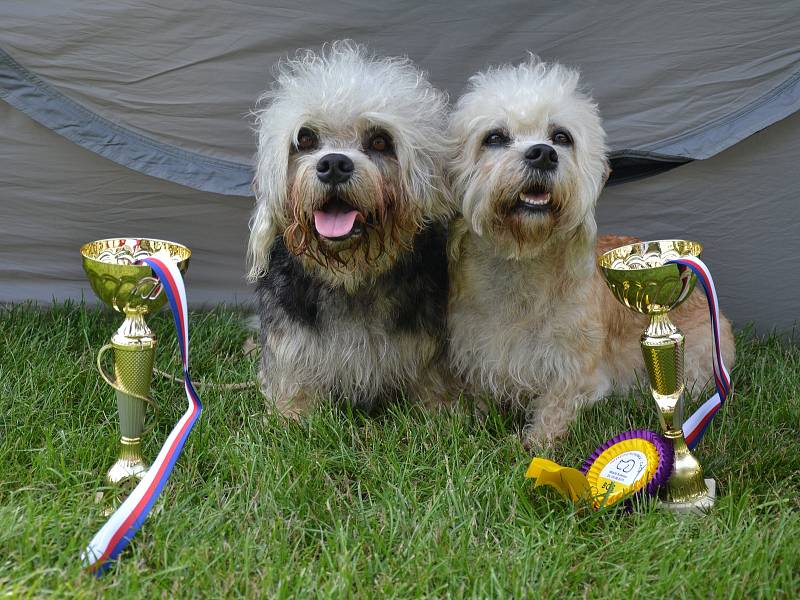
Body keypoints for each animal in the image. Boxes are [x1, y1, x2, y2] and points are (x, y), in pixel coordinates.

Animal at [247, 42, 454, 418]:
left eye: (380, 141)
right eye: (305, 138)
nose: (333, 164)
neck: (351, 276)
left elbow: (433, 383)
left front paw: (440, 411)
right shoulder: (291, 342)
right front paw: (292, 415)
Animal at [446, 57, 736, 446]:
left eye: (561, 136)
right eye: (494, 137)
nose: (543, 154)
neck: (522, 266)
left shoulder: (575, 369)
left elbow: (555, 405)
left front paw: (535, 445)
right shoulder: (474, 353)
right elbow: (478, 396)